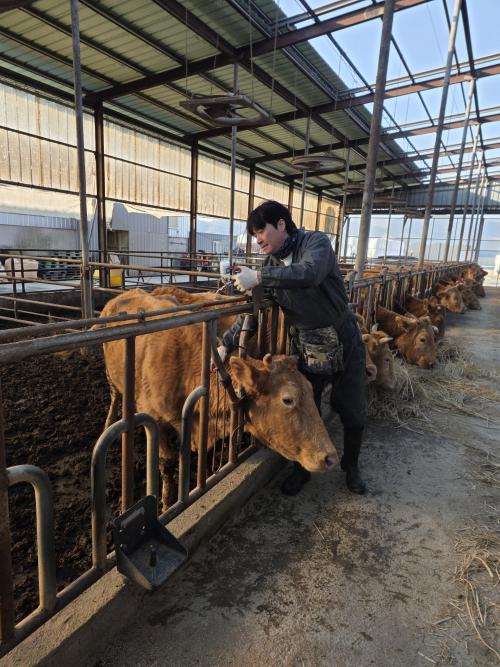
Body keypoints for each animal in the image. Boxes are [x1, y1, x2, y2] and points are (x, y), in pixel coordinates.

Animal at [97, 289, 338, 509]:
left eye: (310, 389)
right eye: (288, 399)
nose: (331, 457)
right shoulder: (154, 419)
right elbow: (167, 462)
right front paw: (166, 503)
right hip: (111, 375)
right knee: (115, 396)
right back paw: (109, 423)